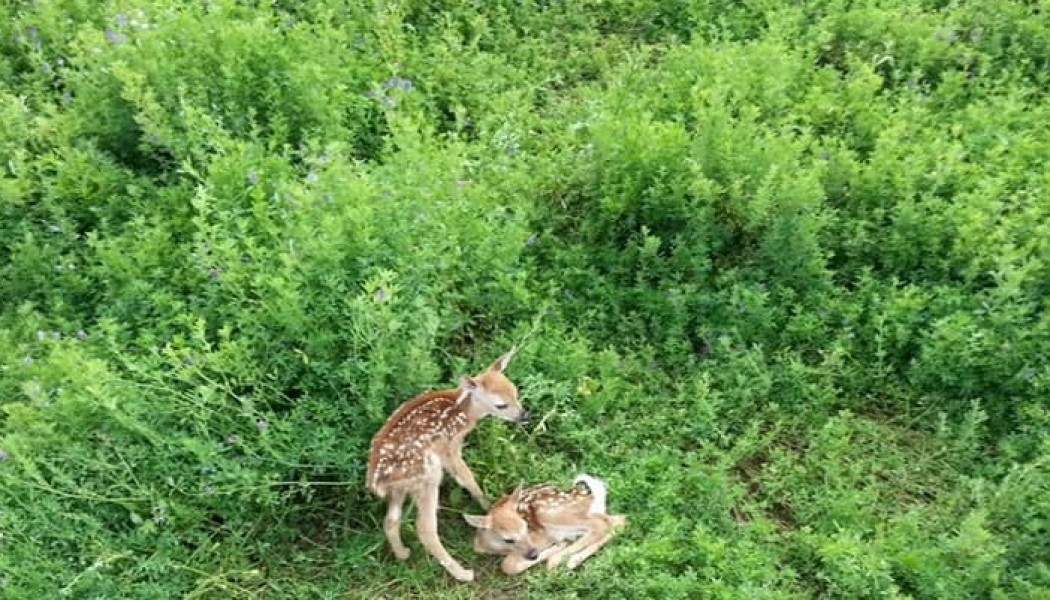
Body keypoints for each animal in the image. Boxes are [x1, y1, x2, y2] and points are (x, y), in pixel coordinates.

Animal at [365, 351, 529, 582]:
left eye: (515, 392)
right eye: (500, 405)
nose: (524, 416)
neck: (464, 410)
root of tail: (376, 480)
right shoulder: (449, 447)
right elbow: (466, 477)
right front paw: (487, 506)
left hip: (401, 487)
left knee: (390, 520)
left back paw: (403, 554)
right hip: (428, 475)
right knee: (424, 529)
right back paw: (463, 573)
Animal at [464, 473, 627, 575]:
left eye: (526, 527)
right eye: (508, 539)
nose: (533, 554)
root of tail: (592, 496)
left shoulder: (541, 536)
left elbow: (507, 565)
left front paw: (556, 548)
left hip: (549, 512)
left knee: (600, 525)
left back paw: (558, 559)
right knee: (618, 521)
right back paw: (573, 560)